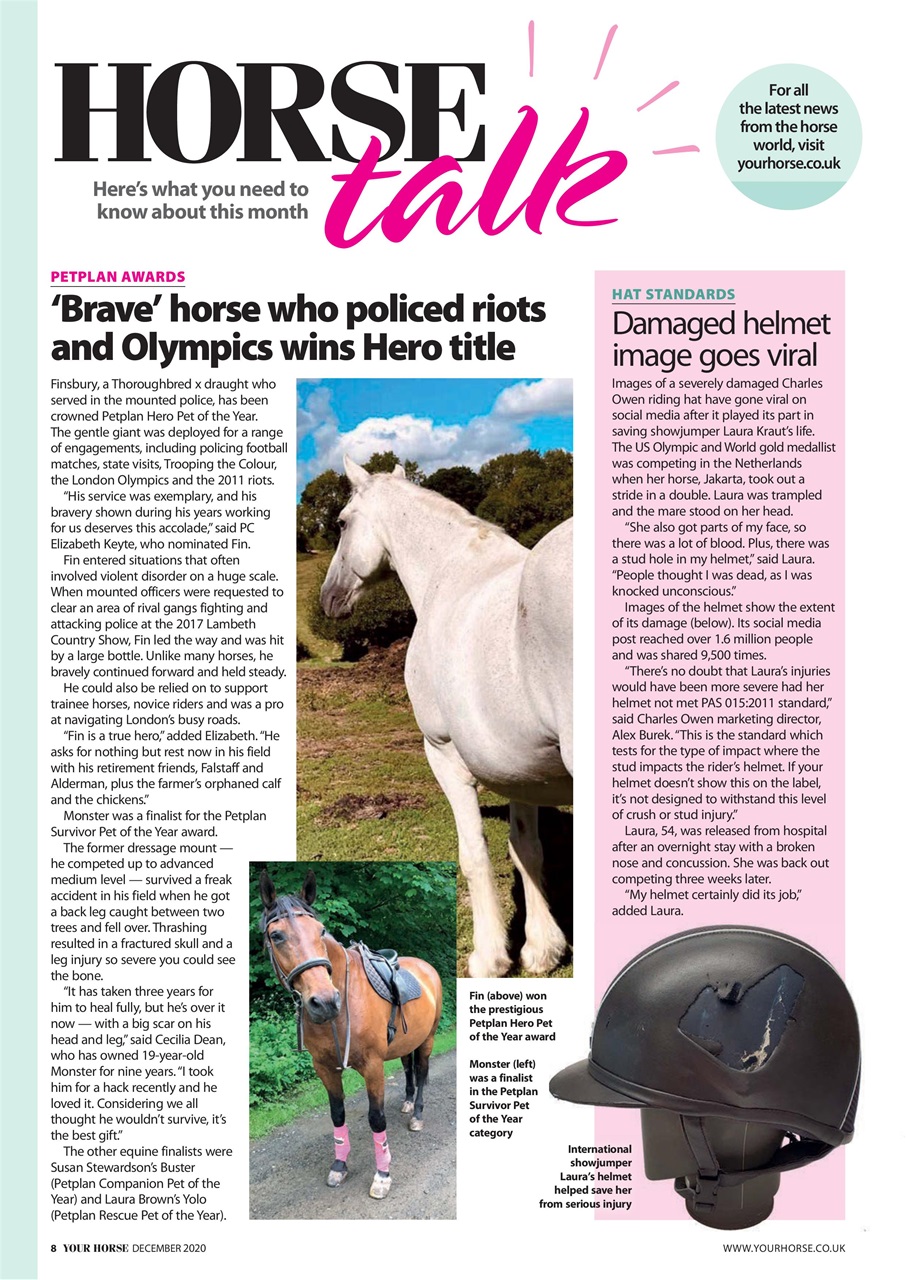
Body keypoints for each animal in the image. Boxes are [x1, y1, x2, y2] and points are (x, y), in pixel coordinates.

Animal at [258, 869, 444, 1200]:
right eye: (276, 936)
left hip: (428, 1039)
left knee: (422, 1072)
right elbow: (337, 1114)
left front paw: (382, 1174)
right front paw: (339, 1166)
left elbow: (376, 1118)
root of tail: (425, 967)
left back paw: (418, 1115)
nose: (325, 1002)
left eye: (320, 931)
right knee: (409, 1069)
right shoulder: (324, 1068)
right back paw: (408, 1102)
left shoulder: (373, 1066)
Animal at [321, 456, 573, 979]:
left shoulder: (443, 753)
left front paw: (489, 958)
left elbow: (473, 853)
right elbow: (526, 851)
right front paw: (541, 949)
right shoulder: (522, 769)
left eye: (342, 522)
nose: (328, 599)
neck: (452, 577)